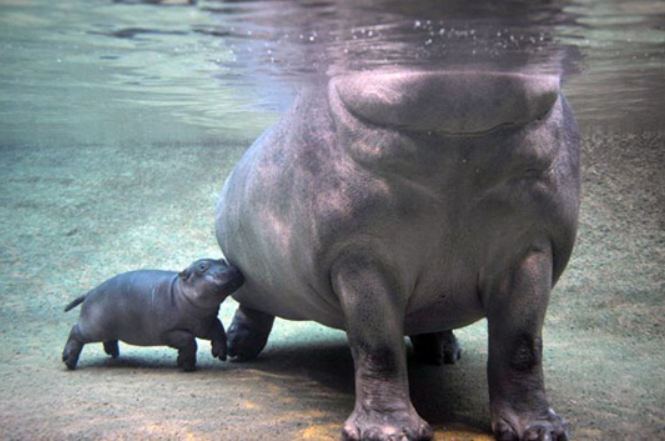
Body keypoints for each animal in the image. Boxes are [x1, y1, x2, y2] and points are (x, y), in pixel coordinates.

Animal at [61, 258, 244, 372]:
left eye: (222, 260)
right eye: (202, 267)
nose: (233, 269)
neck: (180, 292)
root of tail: (90, 292)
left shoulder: (205, 323)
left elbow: (219, 329)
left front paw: (220, 354)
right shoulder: (170, 332)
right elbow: (189, 341)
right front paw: (187, 366)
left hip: (107, 327)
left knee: (107, 338)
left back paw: (113, 353)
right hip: (93, 327)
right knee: (75, 331)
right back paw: (68, 361)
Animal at [215, 66, 580, 440]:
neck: (456, 150)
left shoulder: (530, 245)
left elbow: (522, 346)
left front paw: (540, 430)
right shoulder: (360, 255)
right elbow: (379, 348)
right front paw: (392, 432)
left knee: (433, 319)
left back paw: (444, 353)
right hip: (256, 277)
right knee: (253, 306)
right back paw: (237, 349)